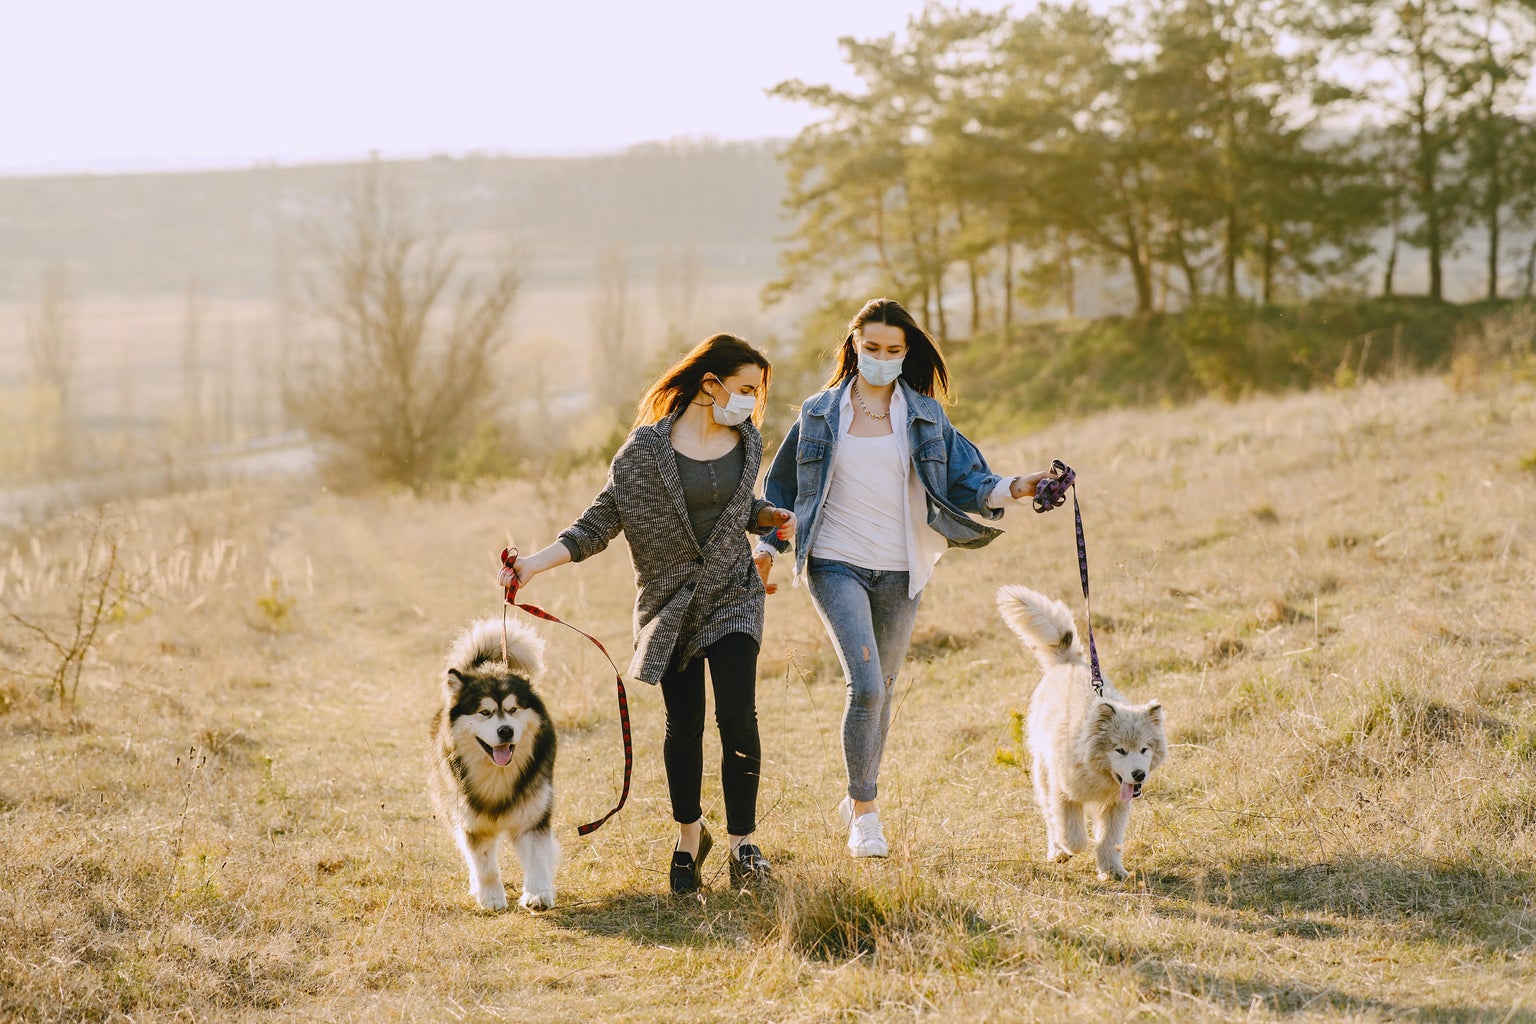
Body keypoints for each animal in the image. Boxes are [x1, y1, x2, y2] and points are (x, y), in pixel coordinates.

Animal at [430, 617, 562, 914]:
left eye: (513, 709)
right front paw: (490, 897)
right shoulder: (471, 822)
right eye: (484, 712)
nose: (505, 731)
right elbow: (484, 865)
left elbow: (537, 857)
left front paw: (537, 894)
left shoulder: (533, 814)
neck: (497, 776)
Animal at [995, 583, 1161, 884]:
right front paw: (1071, 849)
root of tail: (1068, 662)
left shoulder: (1116, 805)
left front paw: (1112, 871)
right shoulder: (1064, 793)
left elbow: (1109, 839)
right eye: (1119, 750)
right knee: (1050, 818)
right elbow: (1073, 835)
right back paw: (1056, 852)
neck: (1094, 768)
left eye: (1145, 749)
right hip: (1043, 772)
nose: (1139, 774)